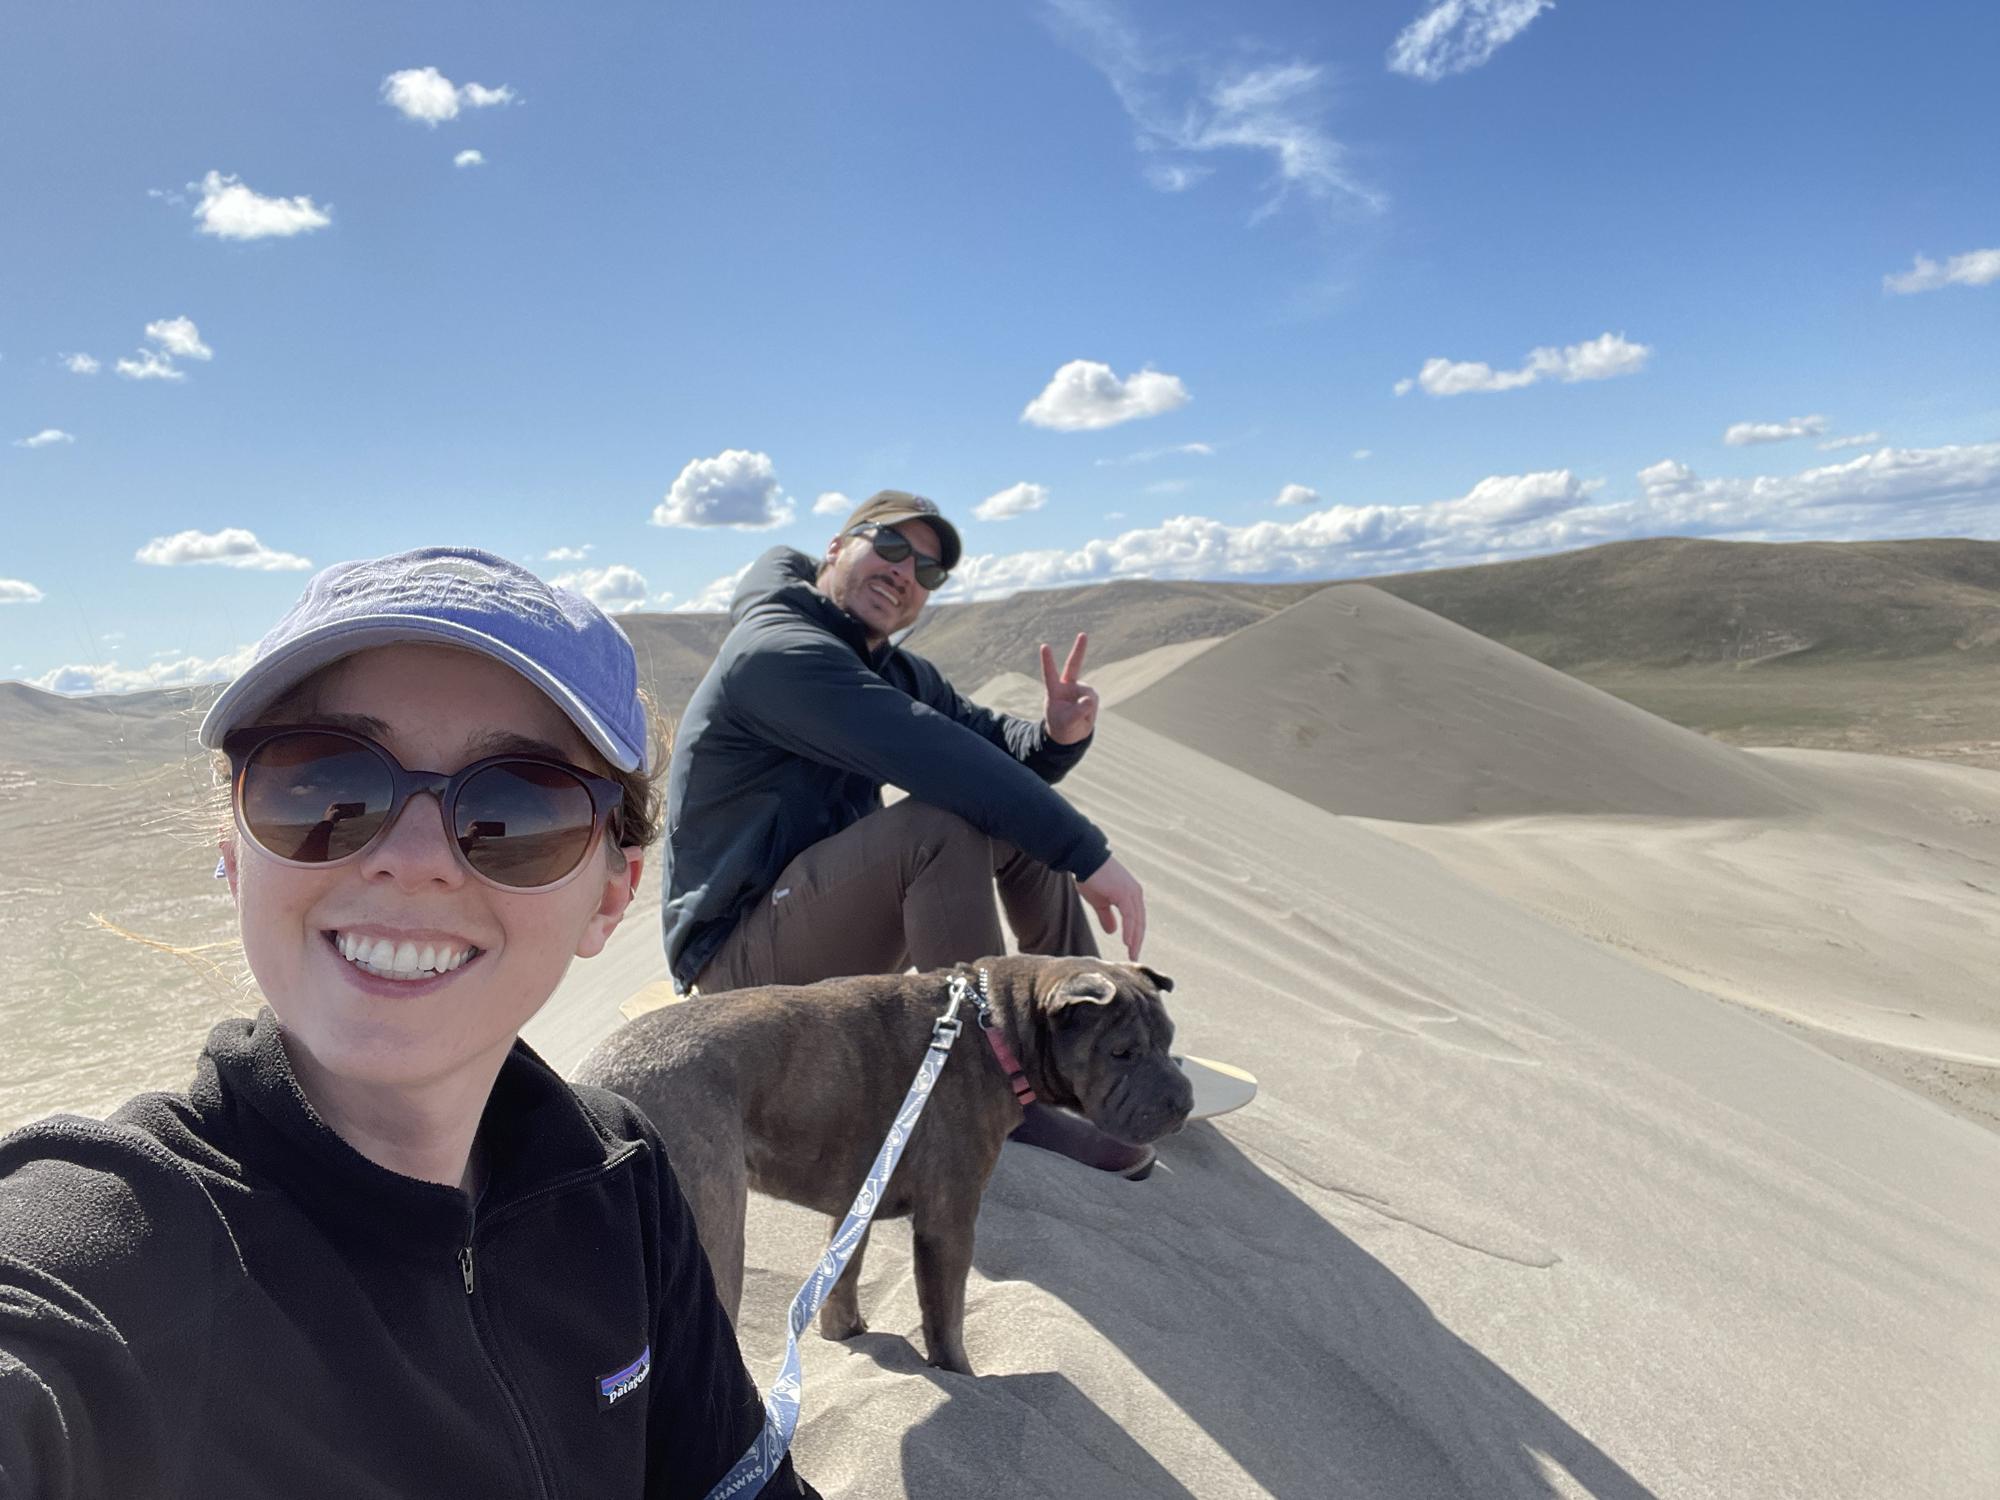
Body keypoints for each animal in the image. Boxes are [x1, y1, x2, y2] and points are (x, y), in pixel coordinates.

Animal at [572, 956, 1184, 1384]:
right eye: (1122, 1052)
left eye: (1171, 1041)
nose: (1184, 1101)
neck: (995, 1023)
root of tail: (591, 1084)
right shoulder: (949, 1223)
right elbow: (945, 1317)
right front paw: (963, 1379)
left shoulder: (858, 1197)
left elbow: (843, 1275)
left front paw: (846, 1333)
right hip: (715, 1235)